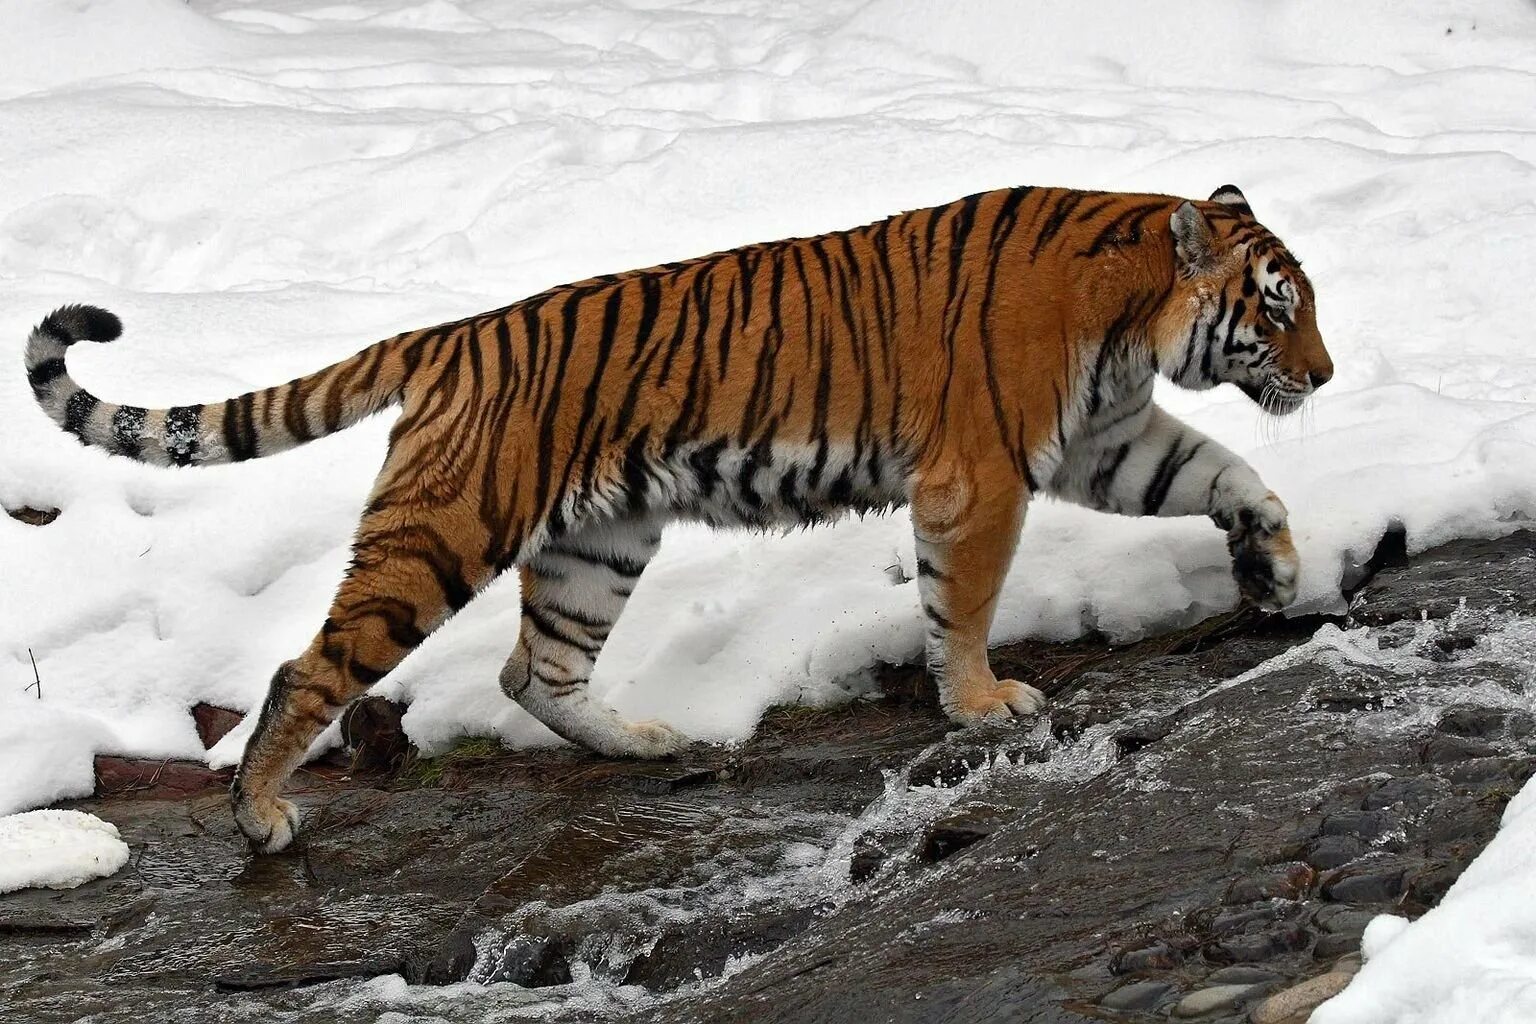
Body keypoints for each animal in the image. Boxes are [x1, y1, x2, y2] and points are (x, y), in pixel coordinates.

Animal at [24, 181, 1333, 847]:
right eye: (1276, 308)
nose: (1322, 377)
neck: (1134, 314)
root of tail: (448, 335)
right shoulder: (985, 474)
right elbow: (962, 600)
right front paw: (982, 702)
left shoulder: (1110, 439)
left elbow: (1227, 474)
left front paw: (1275, 563)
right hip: (442, 535)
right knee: (309, 669)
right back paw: (259, 813)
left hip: (599, 543)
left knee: (532, 670)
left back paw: (646, 742)